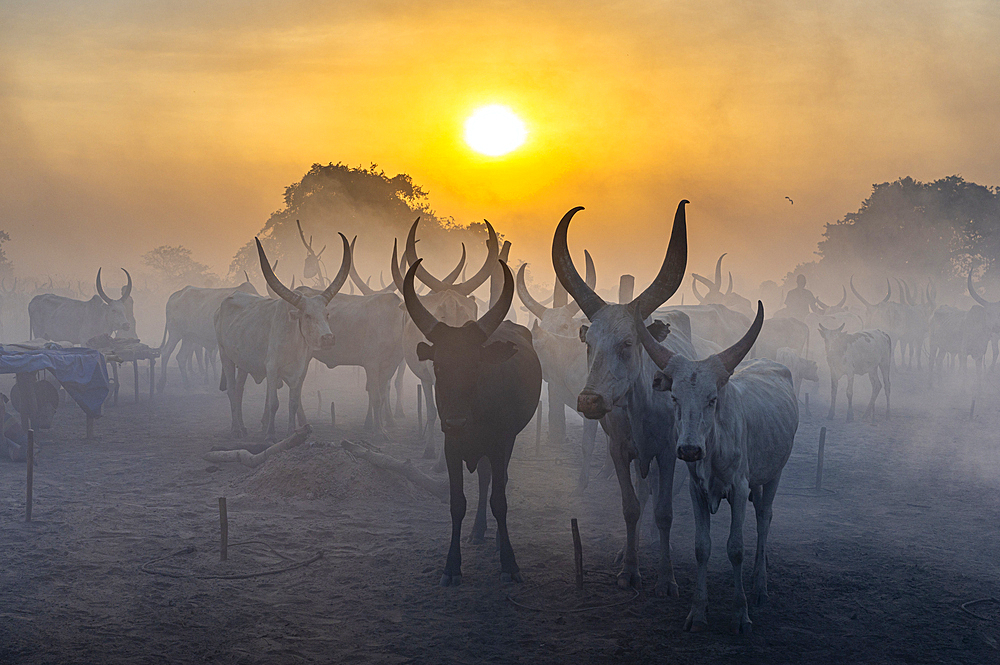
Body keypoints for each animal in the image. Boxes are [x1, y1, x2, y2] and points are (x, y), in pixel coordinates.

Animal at [213, 236, 350, 438]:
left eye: (327, 314)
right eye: (307, 315)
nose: (328, 338)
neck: (293, 344)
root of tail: (226, 301)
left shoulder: (300, 372)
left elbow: (293, 403)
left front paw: (292, 432)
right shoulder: (272, 368)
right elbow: (274, 403)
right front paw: (270, 434)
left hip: (243, 362)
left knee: (239, 390)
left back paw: (242, 427)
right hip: (225, 355)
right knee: (231, 390)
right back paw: (236, 429)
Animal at [400, 256, 544, 584]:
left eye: (476, 365)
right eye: (438, 366)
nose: (456, 423)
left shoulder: (500, 443)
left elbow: (499, 500)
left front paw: (509, 562)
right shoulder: (451, 447)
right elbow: (457, 503)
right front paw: (451, 566)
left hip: (507, 442)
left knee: (495, 481)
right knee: (485, 478)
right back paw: (478, 532)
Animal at [556, 200, 696, 592]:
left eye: (628, 342)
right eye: (588, 342)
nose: (589, 402)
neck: (642, 410)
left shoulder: (666, 453)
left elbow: (664, 512)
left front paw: (667, 577)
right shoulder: (619, 450)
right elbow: (631, 506)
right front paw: (629, 569)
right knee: (642, 491)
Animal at [640, 300, 796, 632]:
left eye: (712, 399)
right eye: (674, 397)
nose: (688, 449)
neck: (713, 447)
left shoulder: (738, 489)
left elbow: (735, 548)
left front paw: (741, 614)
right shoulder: (697, 491)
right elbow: (702, 548)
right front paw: (698, 612)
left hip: (774, 474)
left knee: (764, 518)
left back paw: (760, 585)